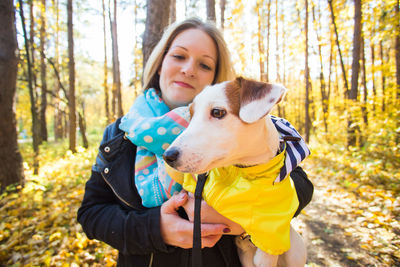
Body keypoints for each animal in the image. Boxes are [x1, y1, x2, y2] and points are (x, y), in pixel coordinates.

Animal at [164, 77, 308, 267]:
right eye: (191, 114)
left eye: (217, 112)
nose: (167, 156)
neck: (241, 172)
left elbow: (269, 246)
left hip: (296, 251)